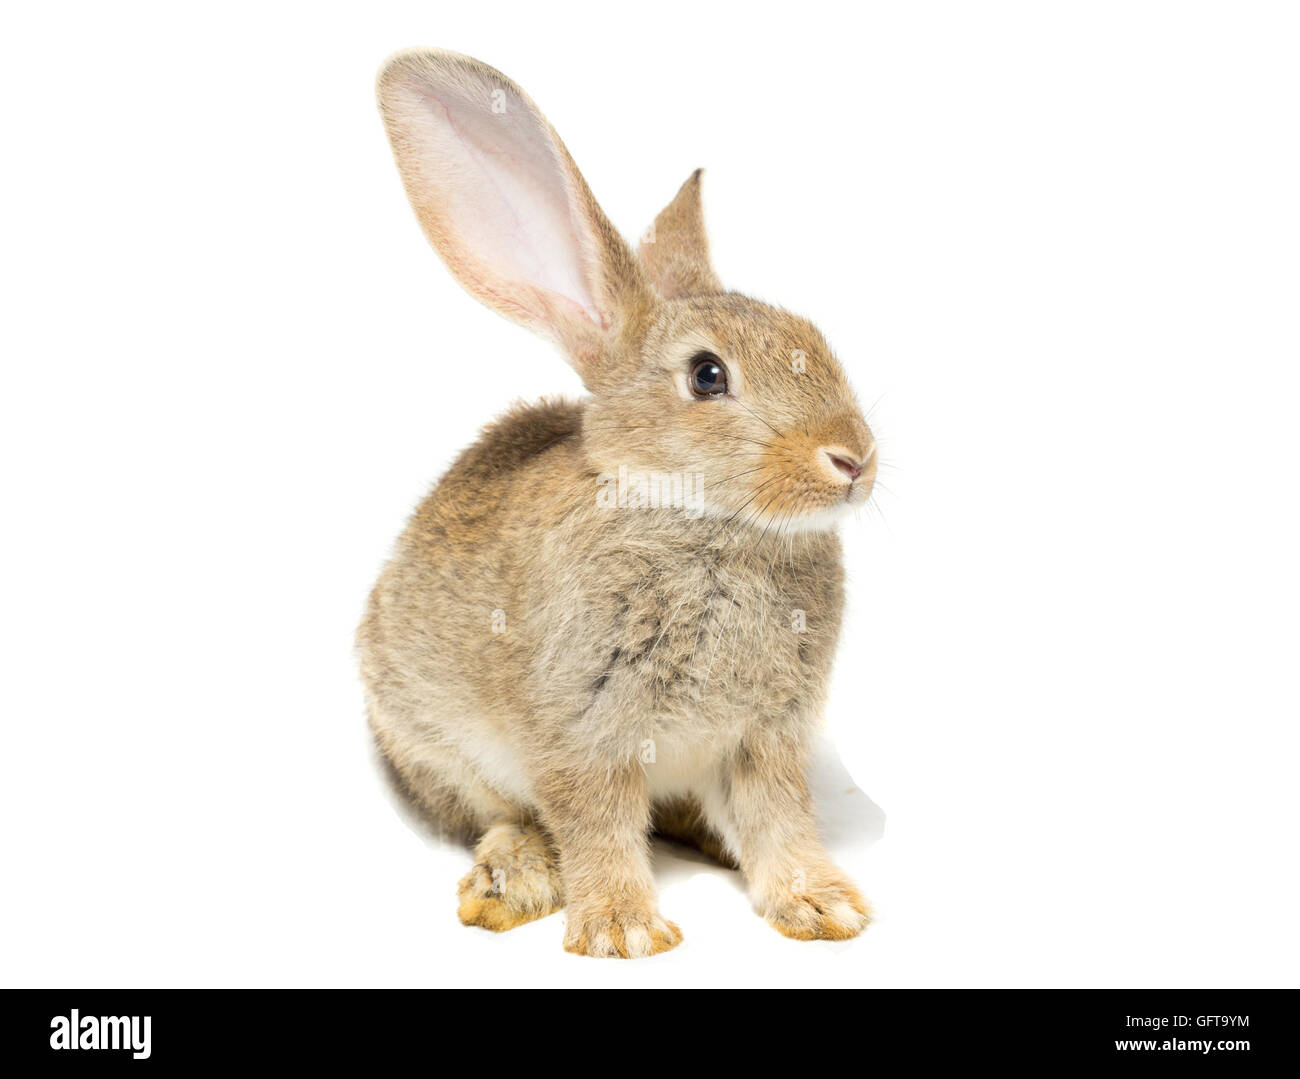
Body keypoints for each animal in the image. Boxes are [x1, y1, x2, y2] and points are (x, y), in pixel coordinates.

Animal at [358, 47, 878, 958]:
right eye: (707, 376)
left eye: (813, 339)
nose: (854, 459)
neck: (706, 526)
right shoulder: (583, 729)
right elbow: (596, 824)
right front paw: (625, 931)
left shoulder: (767, 736)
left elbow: (779, 821)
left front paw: (822, 907)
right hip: (427, 735)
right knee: (499, 814)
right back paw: (511, 880)